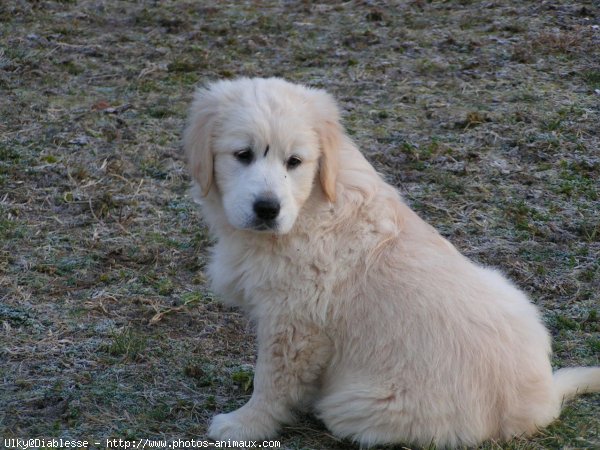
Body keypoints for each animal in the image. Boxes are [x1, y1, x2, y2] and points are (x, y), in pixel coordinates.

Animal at [183, 76, 600, 446]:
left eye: (295, 161)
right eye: (243, 155)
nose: (267, 208)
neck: (309, 208)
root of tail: (541, 401)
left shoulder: (294, 322)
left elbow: (271, 381)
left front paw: (245, 424)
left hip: (358, 404)